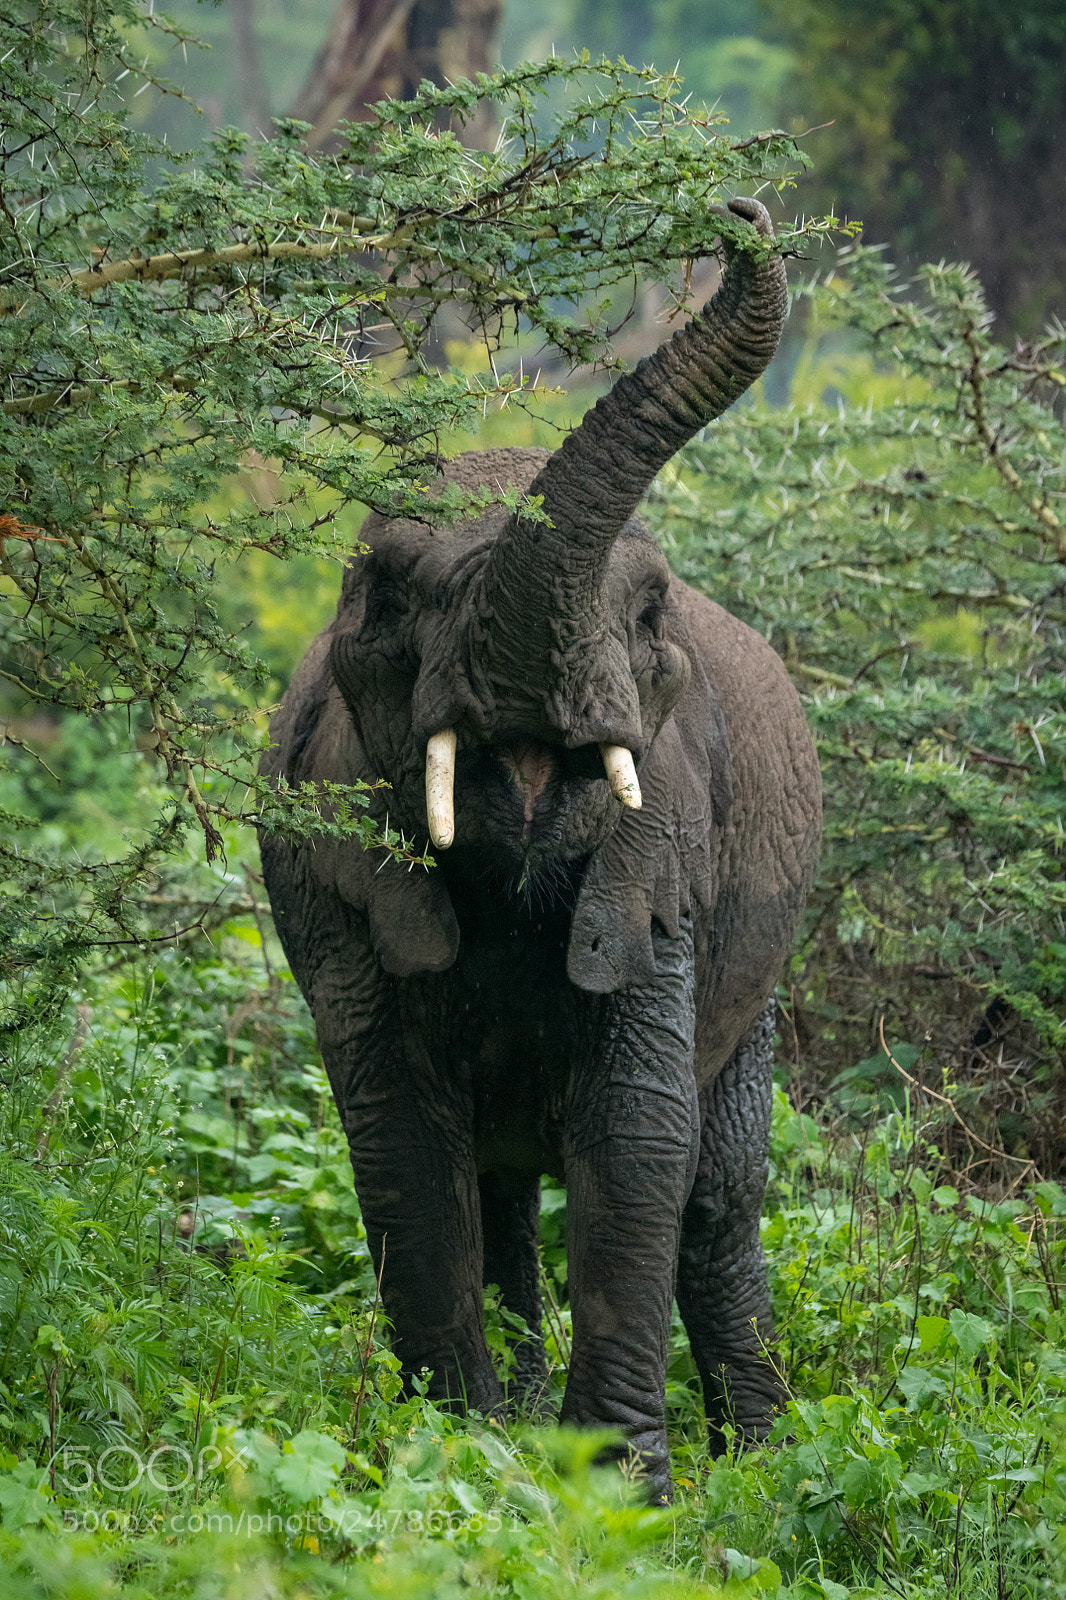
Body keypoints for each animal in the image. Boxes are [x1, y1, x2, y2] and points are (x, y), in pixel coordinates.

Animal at [258, 197, 822, 1502]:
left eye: (650, 611)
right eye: (384, 594)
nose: (738, 207)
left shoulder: (668, 849)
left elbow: (639, 1137)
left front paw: (613, 1495)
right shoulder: (325, 867)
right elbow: (402, 1141)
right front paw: (452, 1460)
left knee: (719, 1200)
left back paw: (765, 1466)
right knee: (499, 1183)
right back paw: (511, 1420)